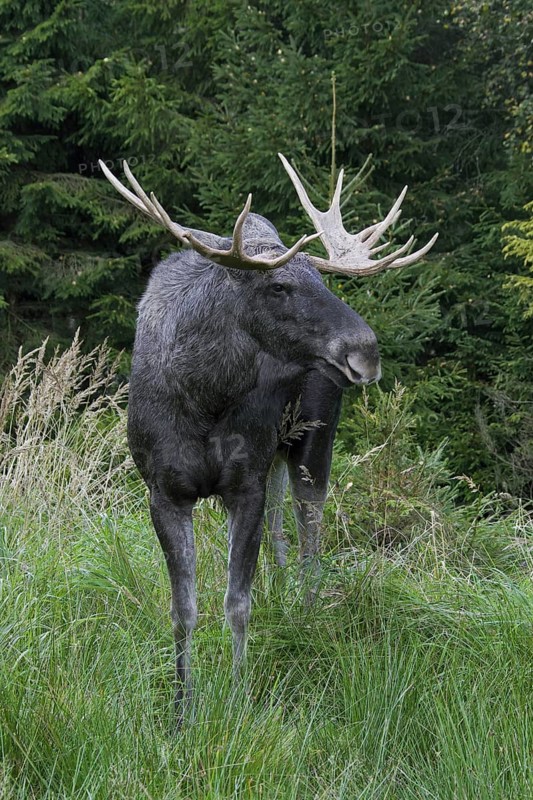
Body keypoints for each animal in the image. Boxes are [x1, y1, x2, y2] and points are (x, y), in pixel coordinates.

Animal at [99, 154, 437, 718]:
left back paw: (305, 612)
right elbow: (183, 610)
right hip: (274, 453)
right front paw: (182, 707)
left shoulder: (244, 486)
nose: (366, 351)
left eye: (324, 281)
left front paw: (238, 698)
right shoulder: (164, 490)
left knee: (309, 538)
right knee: (282, 529)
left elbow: (237, 603)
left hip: (311, 442)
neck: (203, 398)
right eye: (278, 287)